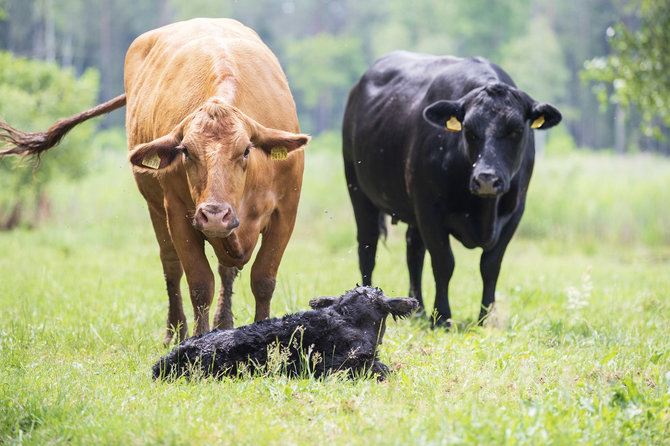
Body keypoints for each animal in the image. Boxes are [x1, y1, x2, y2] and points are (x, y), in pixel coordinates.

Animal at [0, 19, 310, 344]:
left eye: (246, 150)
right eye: (186, 151)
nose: (214, 215)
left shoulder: (286, 211)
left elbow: (263, 279)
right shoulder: (179, 214)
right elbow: (200, 284)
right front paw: (197, 342)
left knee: (226, 270)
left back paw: (224, 323)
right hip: (157, 209)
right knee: (172, 267)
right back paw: (176, 331)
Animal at [344, 50, 564, 326]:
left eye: (515, 130)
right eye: (469, 130)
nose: (487, 179)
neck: (483, 211)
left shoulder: (515, 212)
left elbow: (490, 265)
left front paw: (485, 320)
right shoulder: (430, 210)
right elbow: (444, 263)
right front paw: (442, 318)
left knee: (413, 252)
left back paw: (418, 310)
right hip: (358, 189)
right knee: (368, 247)